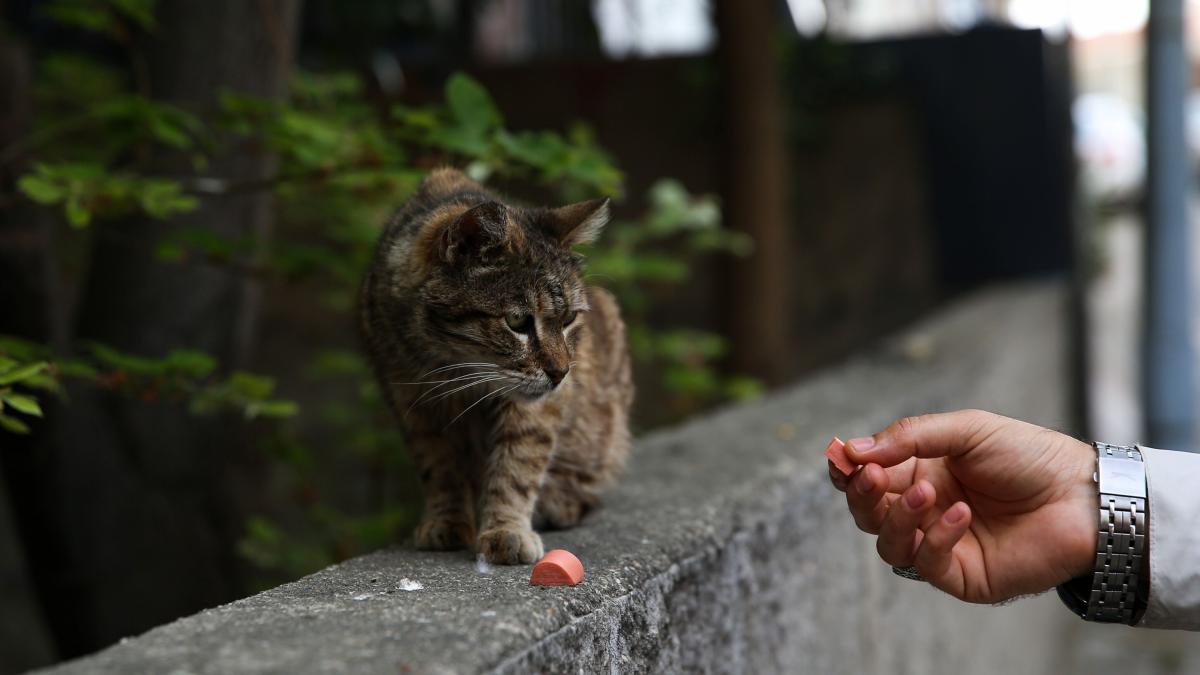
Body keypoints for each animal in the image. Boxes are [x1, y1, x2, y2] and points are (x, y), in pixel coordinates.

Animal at [357, 168, 633, 562]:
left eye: (569, 320)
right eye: (517, 321)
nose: (561, 373)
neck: (452, 365)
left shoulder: (535, 406)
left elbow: (518, 463)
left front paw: (506, 530)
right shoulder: (410, 399)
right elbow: (438, 466)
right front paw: (447, 521)